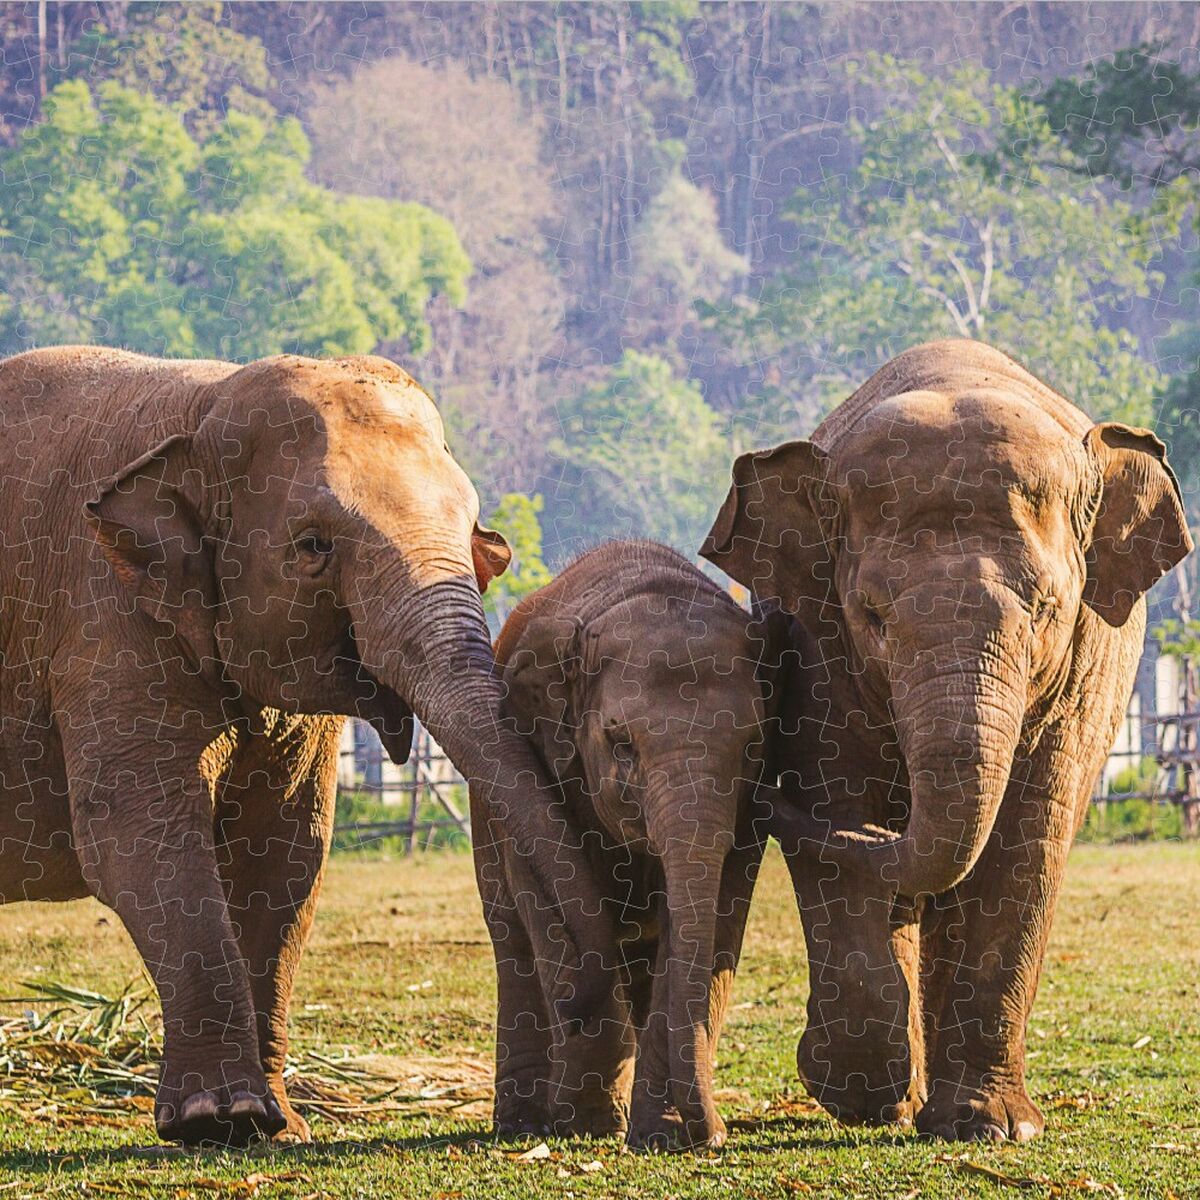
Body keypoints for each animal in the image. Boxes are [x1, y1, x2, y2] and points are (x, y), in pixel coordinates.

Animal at [0, 345, 609, 1147]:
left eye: (474, 529)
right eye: (314, 546)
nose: (581, 1002)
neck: (204, 405)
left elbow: (285, 851)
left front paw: (278, 1126)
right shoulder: (103, 617)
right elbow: (138, 840)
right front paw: (218, 1119)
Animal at [478, 541, 781, 1150]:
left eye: (752, 745)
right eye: (621, 744)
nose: (716, 1137)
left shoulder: (751, 810)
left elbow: (716, 917)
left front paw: (662, 1136)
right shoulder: (537, 757)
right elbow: (551, 906)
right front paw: (585, 1124)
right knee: (514, 944)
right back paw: (525, 1122)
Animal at [700, 339, 1191, 1142]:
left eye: (1047, 608)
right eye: (872, 614)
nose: (761, 795)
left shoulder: (1089, 663)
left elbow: (1027, 842)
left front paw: (991, 1128)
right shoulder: (816, 646)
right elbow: (839, 804)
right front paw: (859, 1094)